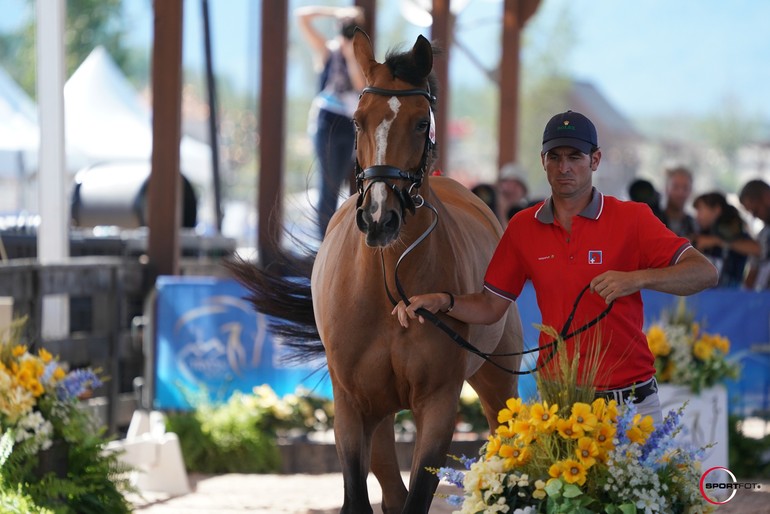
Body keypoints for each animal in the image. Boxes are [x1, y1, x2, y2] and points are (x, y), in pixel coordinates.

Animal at [228, 30, 520, 510]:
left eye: (421, 123)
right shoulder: (351, 406)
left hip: (498, 377)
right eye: (358, 120)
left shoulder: (438, 405)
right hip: (380, 412)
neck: (387, 285)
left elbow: (418, 495)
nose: (380, 219)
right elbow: (358, 494)